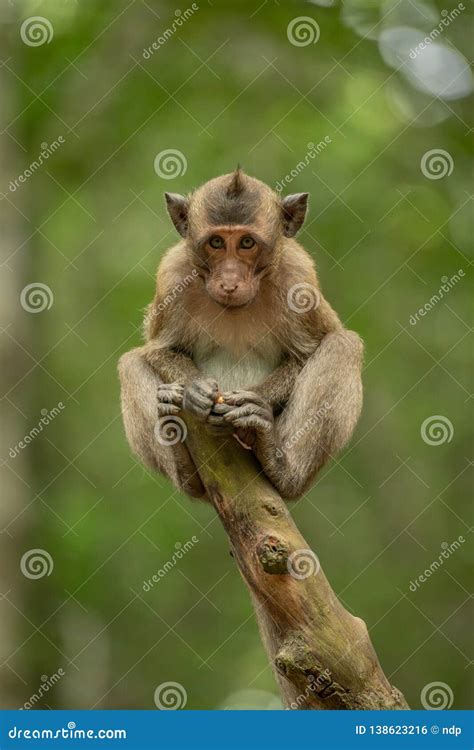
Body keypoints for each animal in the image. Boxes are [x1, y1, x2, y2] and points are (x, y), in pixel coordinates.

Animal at [118, 167, 362, 502]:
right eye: (216, 242)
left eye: (247, 242)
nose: (230, 281)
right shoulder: (172, 276)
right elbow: (158, 350)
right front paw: (195, 391)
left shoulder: (298, 278)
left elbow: (311, 350)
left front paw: (251, 404)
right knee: (130, 363)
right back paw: (182, 462)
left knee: (343, 345)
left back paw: (280, 466)